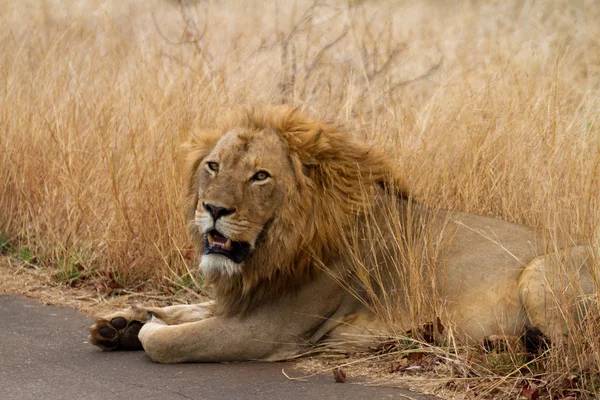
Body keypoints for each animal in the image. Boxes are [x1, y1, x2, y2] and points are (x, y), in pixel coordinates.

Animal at [88, 105, 596, 362]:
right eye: (213, 165)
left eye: (260, 176)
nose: (212, 210)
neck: (279, 247)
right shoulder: (245, 298)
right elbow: (185, 308)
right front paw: (122, 323)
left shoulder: (266, 331)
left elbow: (166, 340)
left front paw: (143, 328)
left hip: (540, 276)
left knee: (571, 355)